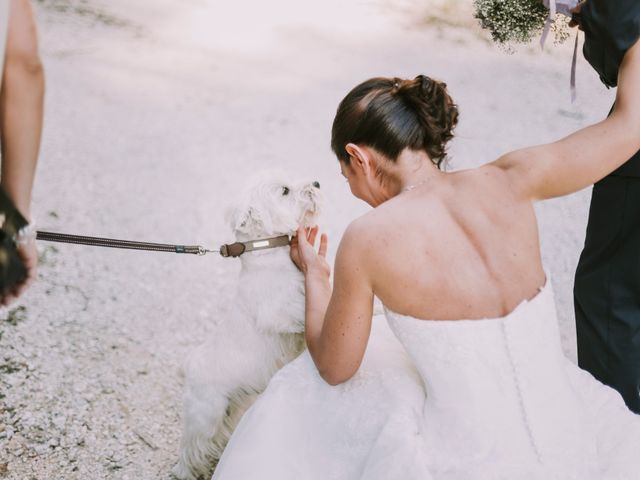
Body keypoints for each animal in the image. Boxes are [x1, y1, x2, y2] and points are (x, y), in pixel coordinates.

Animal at [172, 171, 322, 480]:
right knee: (191, 449)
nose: (316, 183)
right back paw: (187, 472)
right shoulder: (281, 312)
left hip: (234, 405)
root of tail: (189, 367)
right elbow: (304, 312)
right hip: (206, 414)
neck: (269, 254)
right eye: (285, 190)